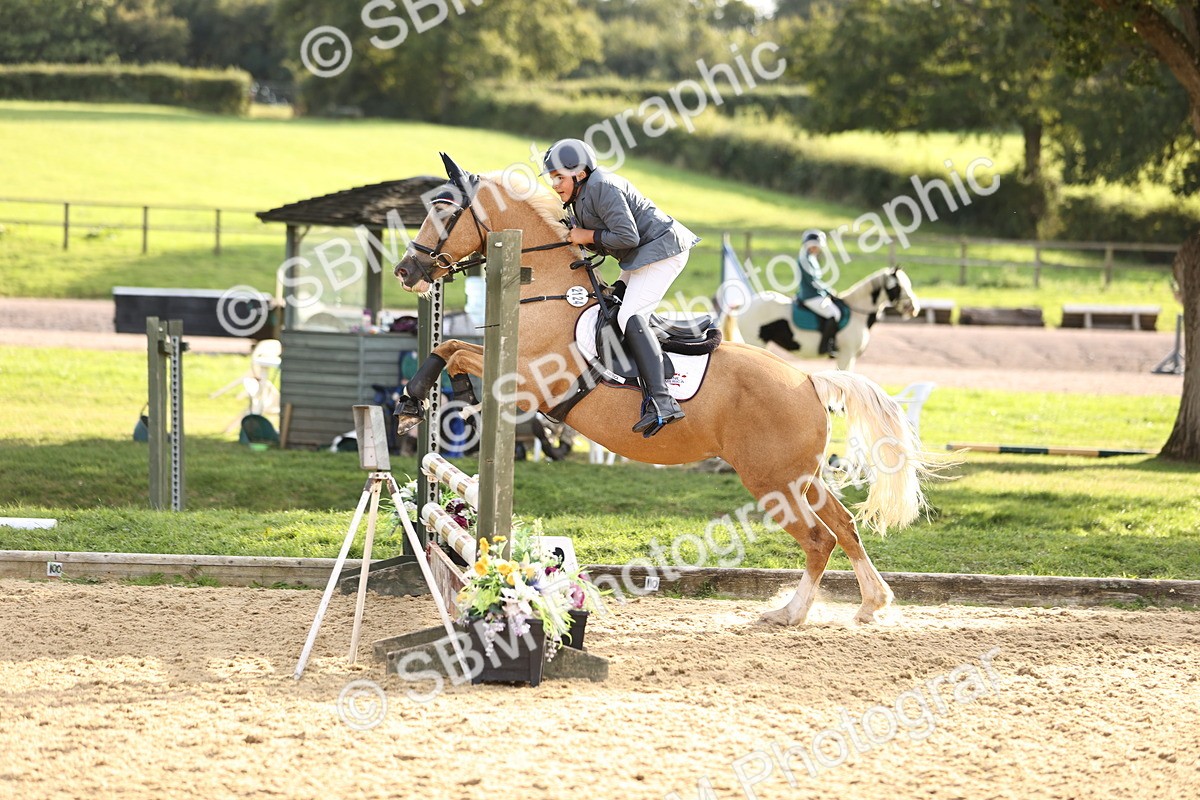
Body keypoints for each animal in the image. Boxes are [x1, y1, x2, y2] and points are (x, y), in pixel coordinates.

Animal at [733, 268, 920, 370]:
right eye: (897, 287)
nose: (913, 308)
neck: (858, 315)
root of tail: (746, 303)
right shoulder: (846, 354)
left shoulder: (850, 357)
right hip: (755, 341)